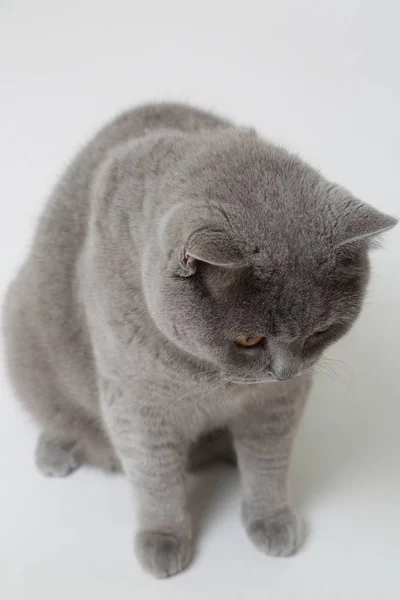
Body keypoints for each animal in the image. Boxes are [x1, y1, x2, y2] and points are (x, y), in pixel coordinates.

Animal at [2, 104, 396, 576]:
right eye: (249, 338)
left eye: (320, 331)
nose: (285, 371)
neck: (212, 379)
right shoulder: (138, 403)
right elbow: (155, 477)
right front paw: (163, 540)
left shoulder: (278, 403)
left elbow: (268, 462)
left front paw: (272, 522)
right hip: (22, 328)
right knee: (56, 413)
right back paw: (56, 451)